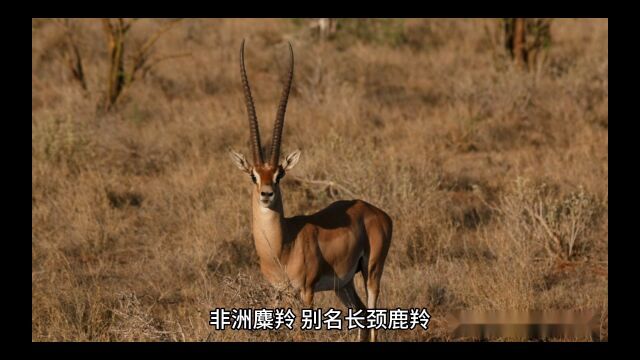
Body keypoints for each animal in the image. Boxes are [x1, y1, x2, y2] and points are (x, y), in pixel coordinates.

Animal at [228, 40, 392, 342]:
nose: (266, 194)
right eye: (253, 175)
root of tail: (377, 213)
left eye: (279, 174)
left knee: (374, 317)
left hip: (372, 272)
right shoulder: (278, 294)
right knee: (362, 316)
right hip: (344, 284)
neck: (283, 245)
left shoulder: (306, 292)